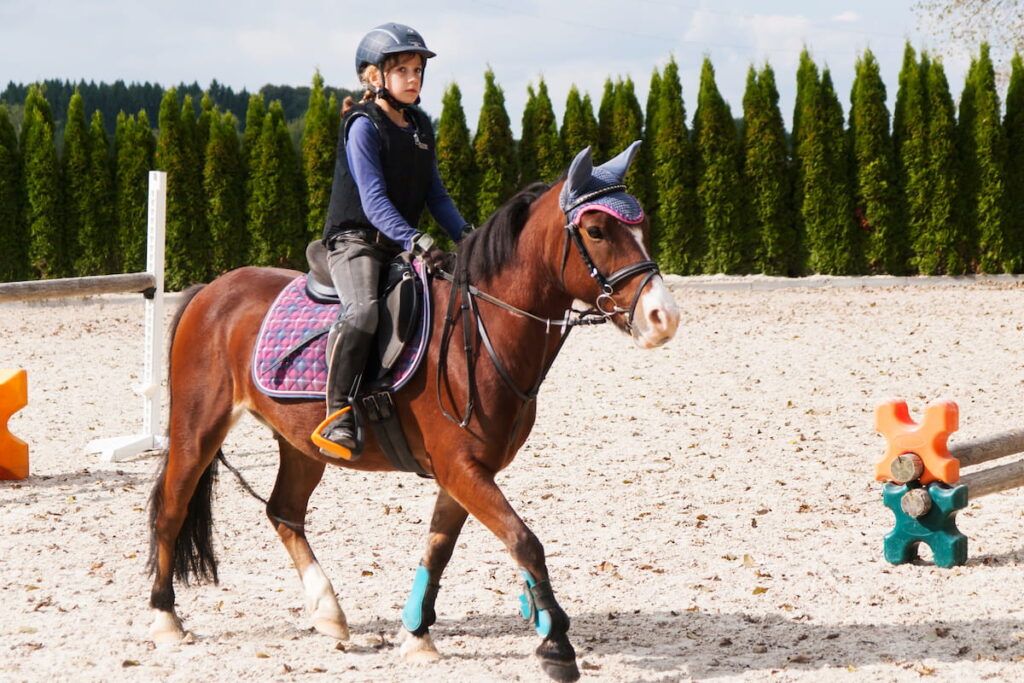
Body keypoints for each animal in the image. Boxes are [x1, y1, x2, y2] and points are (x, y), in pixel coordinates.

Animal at [146, 141, 679, 679]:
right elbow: (524, 541)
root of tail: (212, 289)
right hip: (198, 427)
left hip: (301, 444)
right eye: (596, 231)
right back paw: (165, 619)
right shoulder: (461, 468)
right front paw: (556, 646)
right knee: (172, 507)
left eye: (644, 227)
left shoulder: (465, 471)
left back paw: (328, 612)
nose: (664, 317)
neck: (480, 331)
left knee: (284, 511)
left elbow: (439, 548)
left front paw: (417, 634)